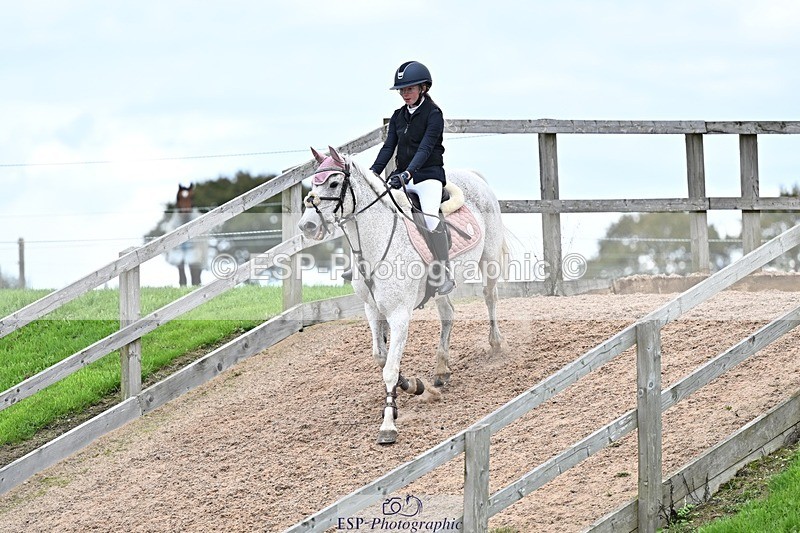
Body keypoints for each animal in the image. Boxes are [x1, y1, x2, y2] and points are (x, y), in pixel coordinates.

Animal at [298, 146, 507, 445]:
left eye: (334, 184)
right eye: (314, 183)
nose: (308, 225)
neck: (375, 243)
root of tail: (473, 176)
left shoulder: (399, 315)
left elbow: (389, 369)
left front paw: (388, 424)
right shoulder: (372, 310)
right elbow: (382, 358)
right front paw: (414, 385)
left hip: (488, 260)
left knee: (490, 297)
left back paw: (496, 344)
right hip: (442, 288)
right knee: (448, 314)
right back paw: (441, 370)